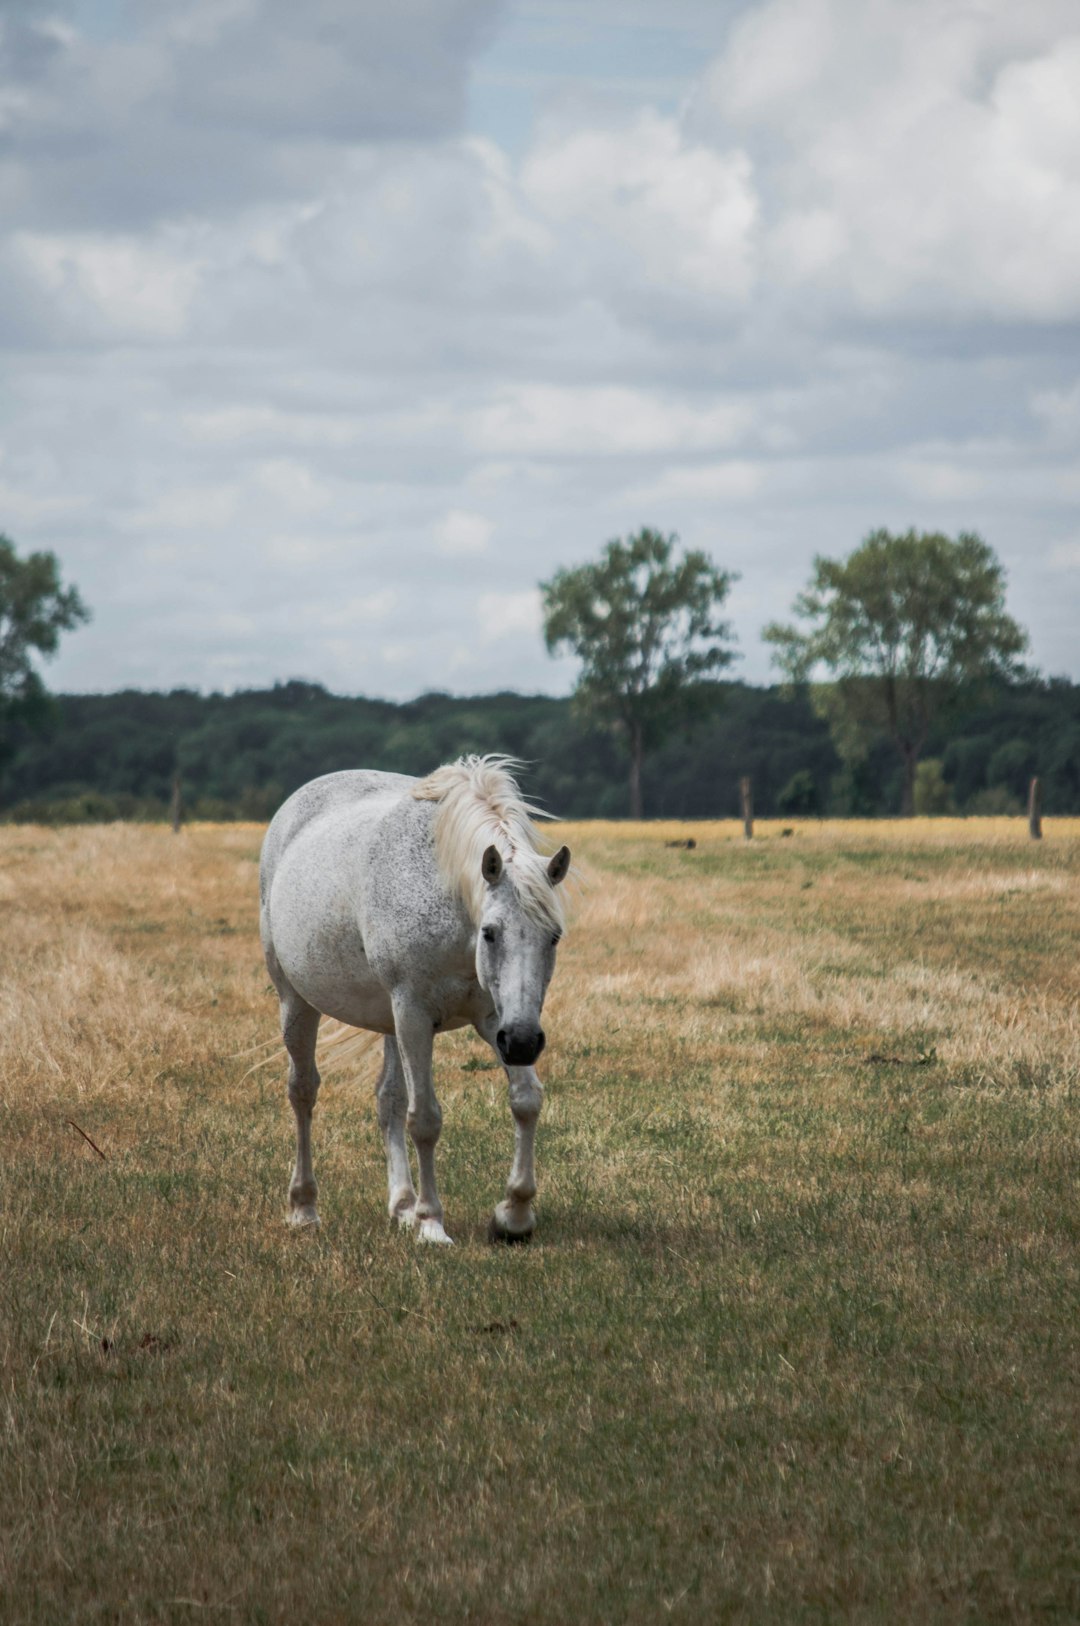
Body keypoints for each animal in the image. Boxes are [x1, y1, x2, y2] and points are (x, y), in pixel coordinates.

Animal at [260, 757, 569, 1242]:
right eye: (490, 932)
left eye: (553, 936)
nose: (523, 1042)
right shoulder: (415, 1014)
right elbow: (424, 1117)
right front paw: (431, 1222)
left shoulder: (494, 1019)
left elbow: (526, 1100)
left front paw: (514, 1214)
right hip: (298, 1003)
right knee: (303, 1092)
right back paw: (304, 1206)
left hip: (391, 1022)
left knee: (387, 1098)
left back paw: (401, 1203)